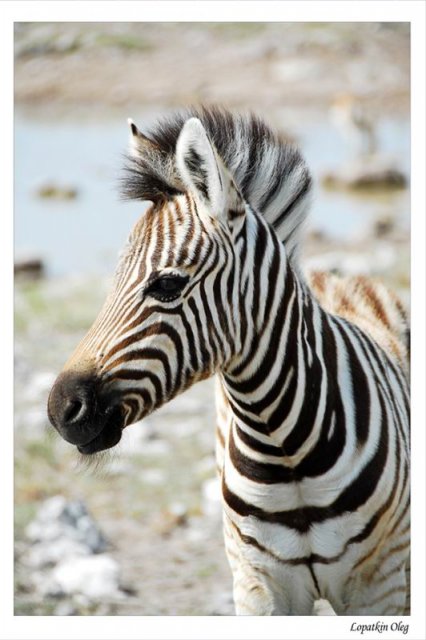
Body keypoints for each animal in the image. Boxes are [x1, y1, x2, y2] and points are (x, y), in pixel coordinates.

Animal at [48, 107, 412, 616]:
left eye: (166, 285)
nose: (61, 409)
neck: (286, 447)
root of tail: (331, 276)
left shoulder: (380, 587)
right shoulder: (258, 585)